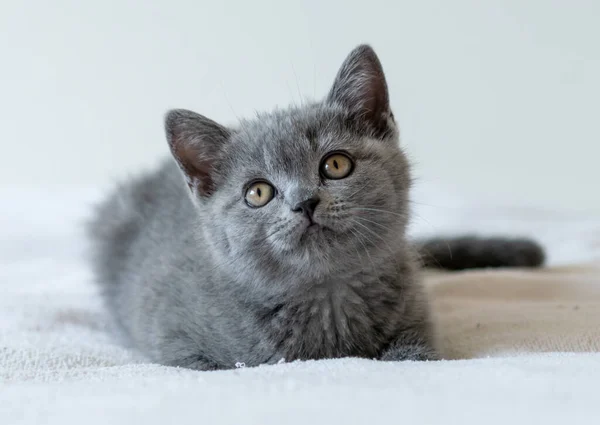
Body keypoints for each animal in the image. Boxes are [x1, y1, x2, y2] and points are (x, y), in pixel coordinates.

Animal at [88, 44, 544, 368]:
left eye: (336, 164)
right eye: (257, 193)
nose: (304, 202)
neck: (329, 298)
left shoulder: (418, 318)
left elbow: (415, 353)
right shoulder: (175, 343)